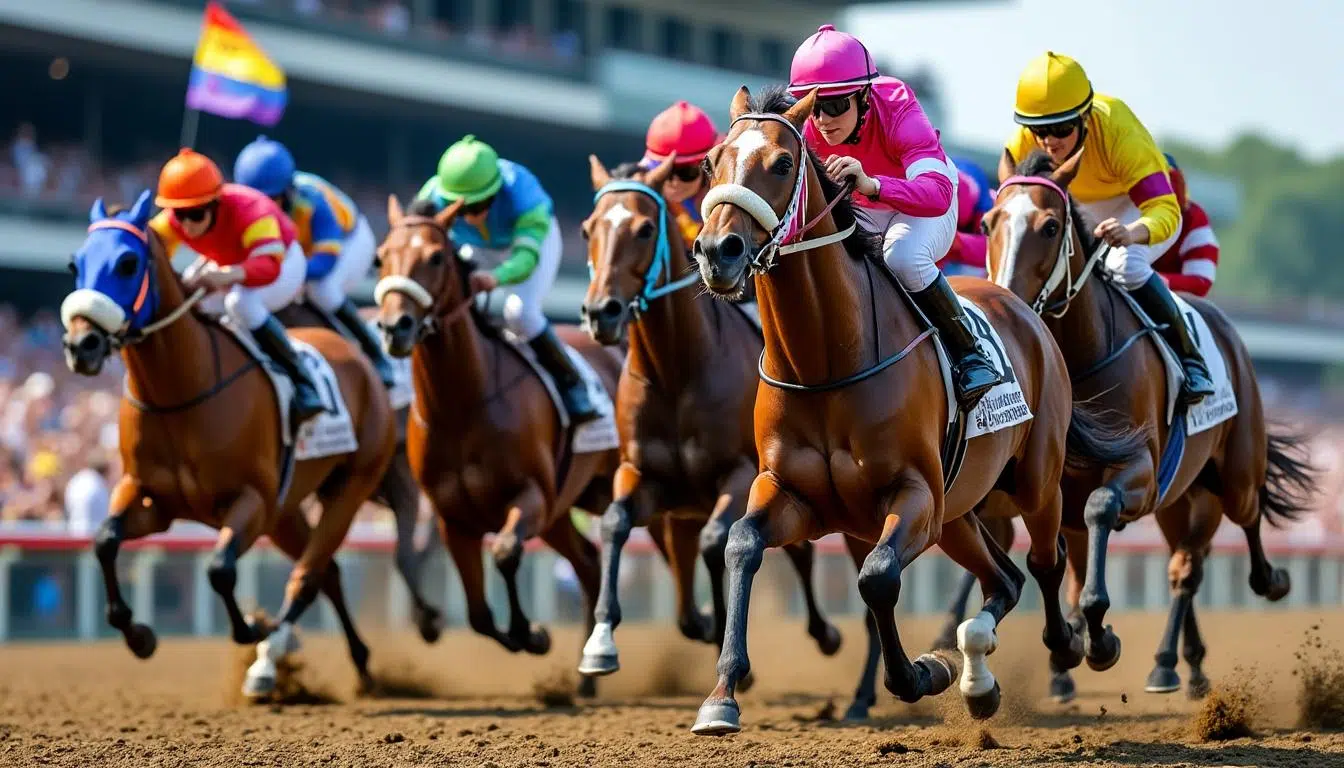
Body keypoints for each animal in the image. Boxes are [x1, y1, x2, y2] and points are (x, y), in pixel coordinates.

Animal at [60, 191, 397, 698]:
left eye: (127, 263)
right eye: (75, 264)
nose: (82, 345)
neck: (178, 394)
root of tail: (359, 359)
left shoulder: (251, 501)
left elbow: (219, 568)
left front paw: (254, 629)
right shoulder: (152, 497)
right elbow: (104, 540)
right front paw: (138, 634)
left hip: (349, 487)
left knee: (308, 575)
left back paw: (273, 662)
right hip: (286, 512)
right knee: (330, 573)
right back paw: (349, 662)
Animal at [373, 194, 621, 696]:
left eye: (435, 257)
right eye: (381, 256)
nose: (394, 327)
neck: (462, 406)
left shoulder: (530, 496)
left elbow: (506, 552)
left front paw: (533, 632)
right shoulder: (453, 520)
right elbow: (478, 615)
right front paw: (523, 635)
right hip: (563, 511)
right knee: (588, 562)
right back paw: (585, 677)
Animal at [578, 156, 890, 713]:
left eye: (643, 229)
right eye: (589, 229)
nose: (601, 313)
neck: (676, 370)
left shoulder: (739, 475)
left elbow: (713, 542)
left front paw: (726, 647)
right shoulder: (643, 475)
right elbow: (615, 524)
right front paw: (602, 645)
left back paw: (854, 686)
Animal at [685, 85, 1147, 735]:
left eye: (780, 163)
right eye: (710, 163)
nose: (716, 252)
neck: (824, 364)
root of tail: (1022, 307)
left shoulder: (914, 496)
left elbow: (877, 577)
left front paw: (923, 674)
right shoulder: (788, 491)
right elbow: (743, 545)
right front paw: (722, 693)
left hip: (1032, 482)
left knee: (1045, 559)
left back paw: (1073, 644)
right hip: (959, 513)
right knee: (1004, 577)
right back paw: (981, 681)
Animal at [983, 150, 1318, 700]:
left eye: (1050, 226)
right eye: (989, 223)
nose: (1005, 303)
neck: (1084, 357)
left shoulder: (1138, 471)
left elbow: (1101, 509)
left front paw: (1098, 637)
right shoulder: (1057, 491)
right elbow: (1065, 563)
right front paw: (1076, 644)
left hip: (1231, 475)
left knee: (1233, 527)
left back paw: (1266, 585)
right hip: (1179, 498)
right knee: (1185, 562)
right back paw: (1181, 664)